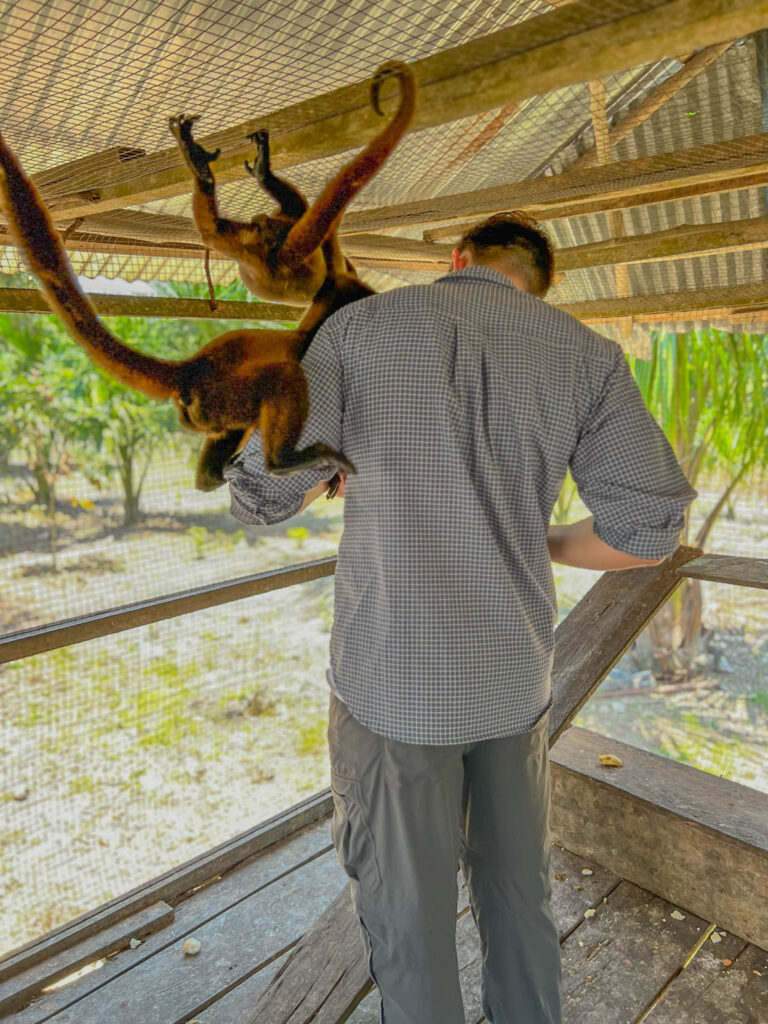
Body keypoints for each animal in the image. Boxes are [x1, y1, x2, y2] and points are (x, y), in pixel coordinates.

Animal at [0, 132, 376, 491]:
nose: (266, 229)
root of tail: (189, 370)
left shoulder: (337, 284)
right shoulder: (343, 289)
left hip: (211, 410)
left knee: (228, 432)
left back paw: (212, 476)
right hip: (223, 396)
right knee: (281, 377)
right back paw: (280, 461)